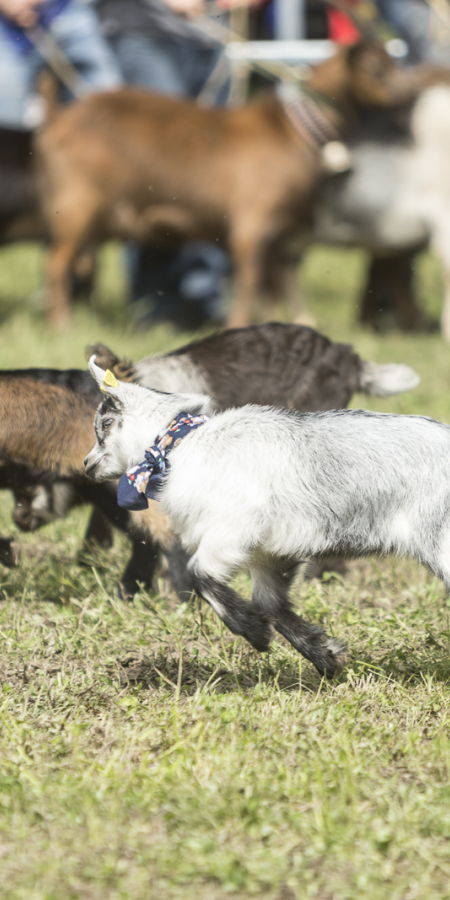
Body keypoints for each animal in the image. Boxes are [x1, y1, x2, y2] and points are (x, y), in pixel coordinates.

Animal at [37, 42, 420, 328]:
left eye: (392, 62)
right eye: (375, 68)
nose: (410, 93)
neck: (293, 132)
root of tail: (61, 117)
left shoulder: (281, 238)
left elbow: (273, 289)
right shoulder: (251, 228)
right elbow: (249, 282)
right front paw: (236, 326)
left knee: (84, 265)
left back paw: (92, 319)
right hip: (78, 205)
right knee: (57, 264)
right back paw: (62, 326)